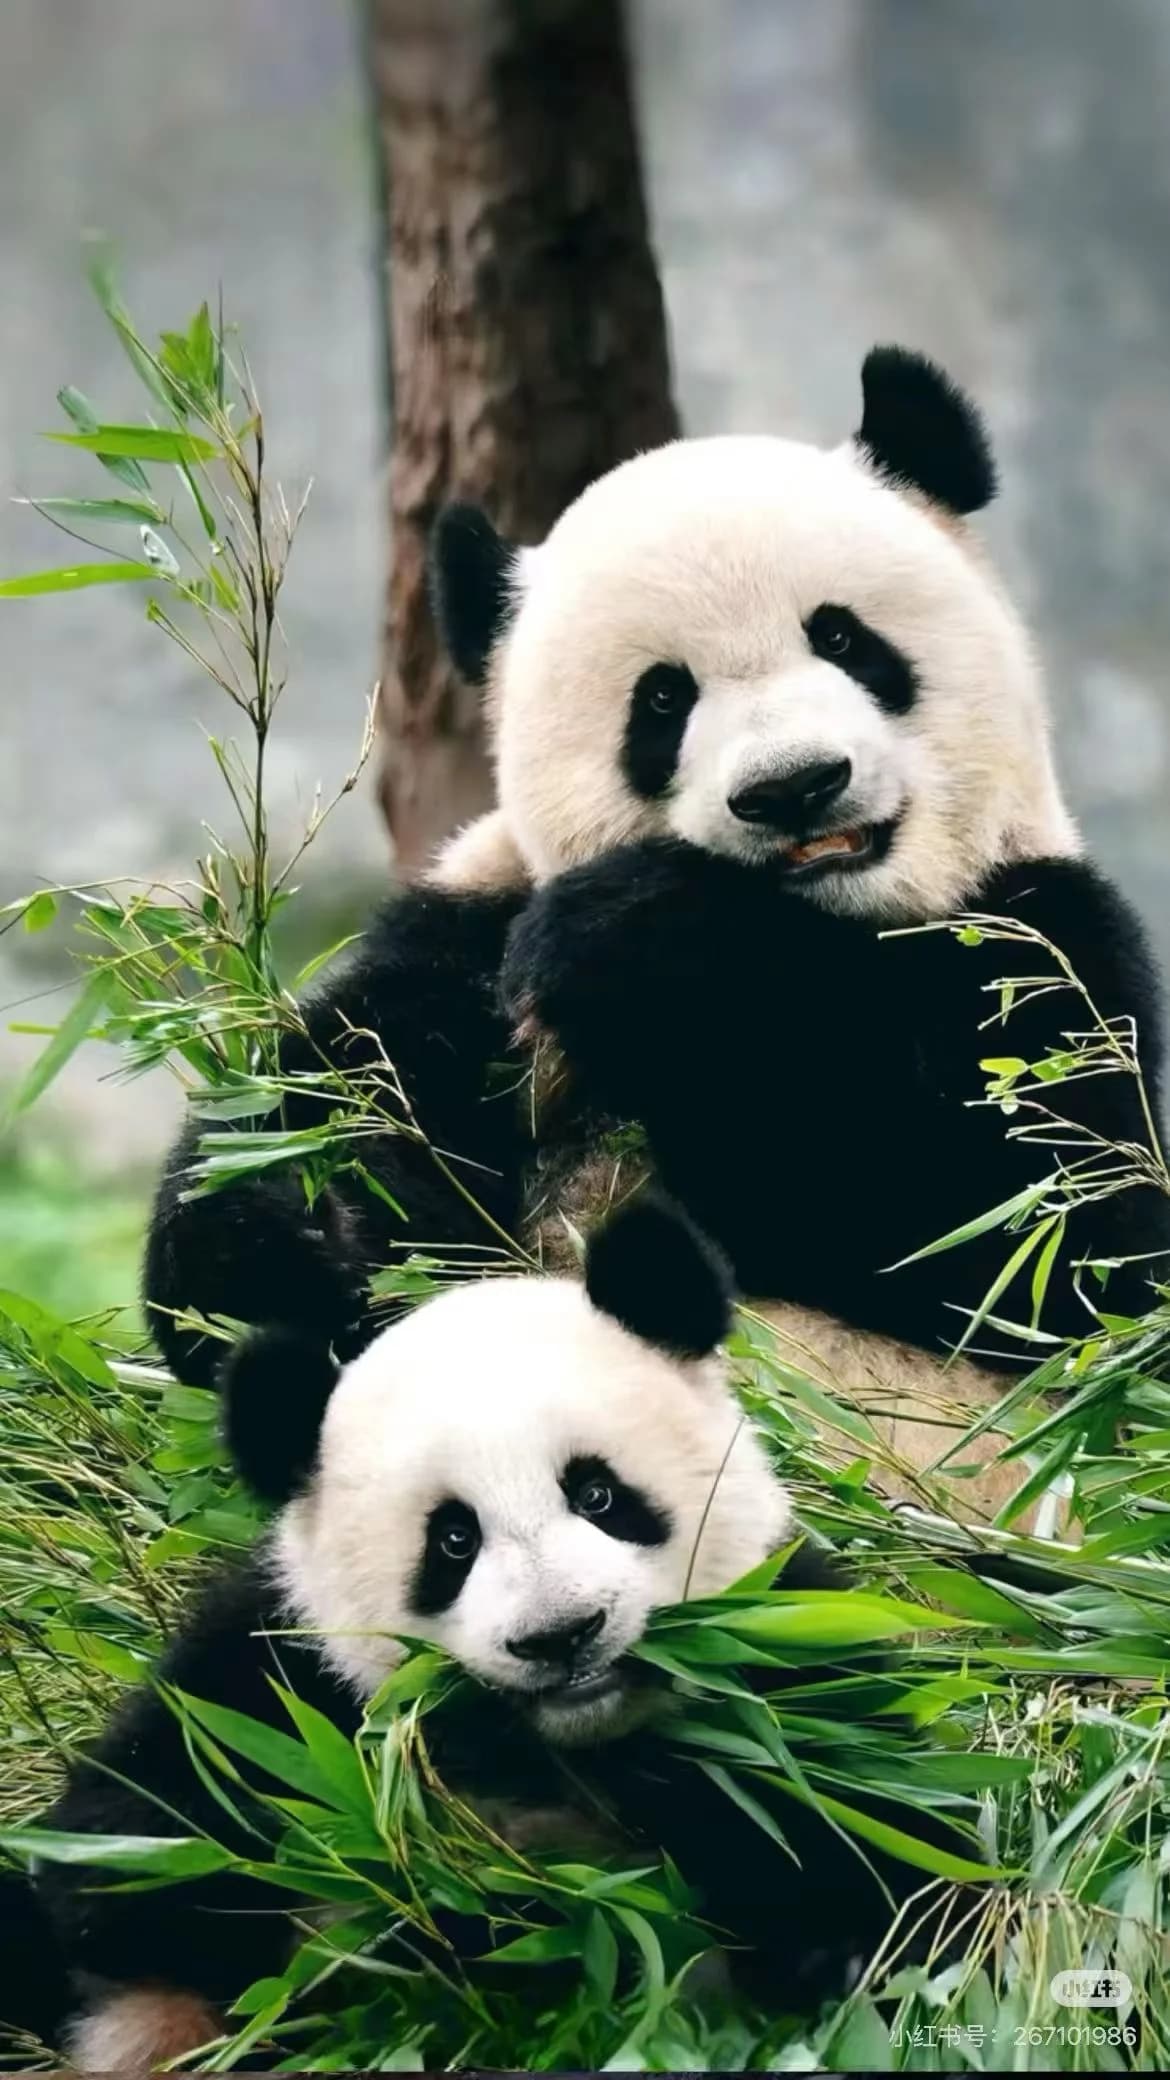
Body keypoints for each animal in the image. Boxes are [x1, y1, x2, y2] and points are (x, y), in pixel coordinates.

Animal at [18, 1204, 962, 2074]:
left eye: (598, 1494)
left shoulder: (790, 1664)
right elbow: (128, 1864)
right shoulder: (271, 1677)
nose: (562, 1635)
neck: (569, 1745)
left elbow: (890, 1851)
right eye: (453, 1540)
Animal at [143, 344, 1170, 1520]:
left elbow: (1044, 1250)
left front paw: (664, 956)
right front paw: (301, 1227)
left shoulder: (1043, 941)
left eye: (842, 637)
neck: (830, 933)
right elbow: (321, 1113)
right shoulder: (471, 937)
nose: (794, 786)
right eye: (664, 700)